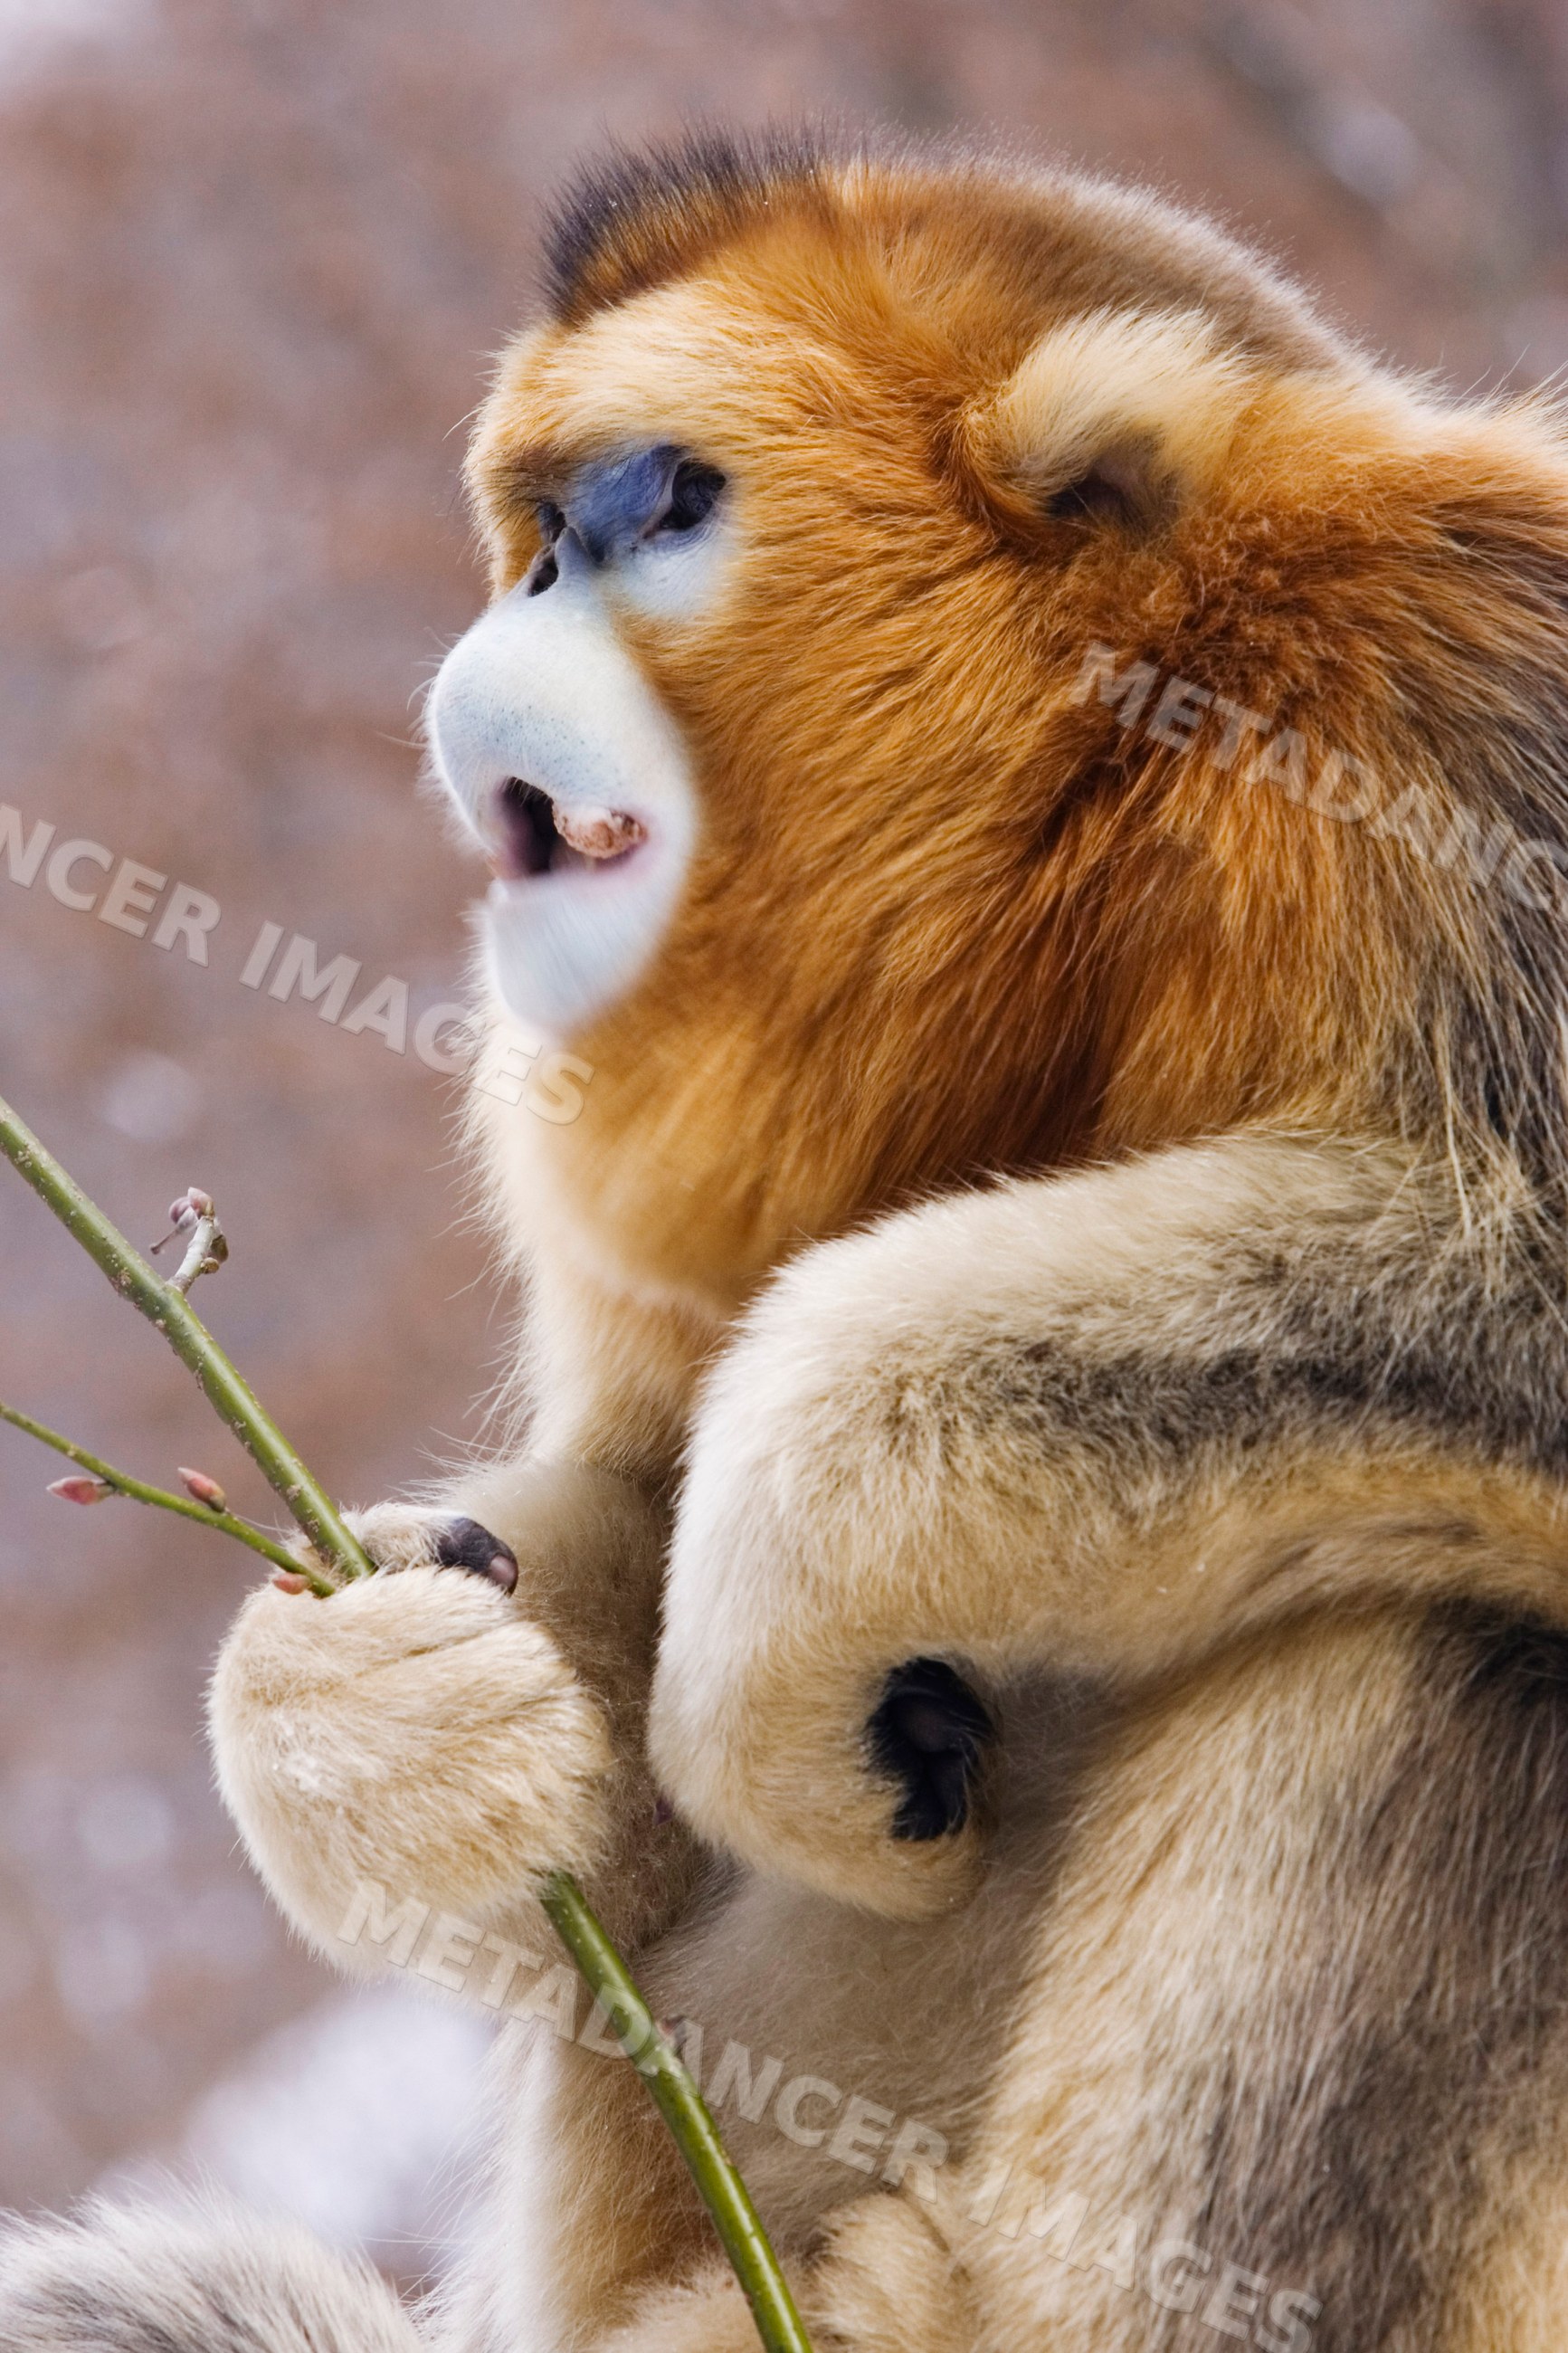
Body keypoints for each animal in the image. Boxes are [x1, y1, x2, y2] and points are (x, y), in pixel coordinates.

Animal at [9, 124, 1568, 2352]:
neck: (1122, 798)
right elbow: (623, 1523)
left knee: (1462, 1633)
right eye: (533, 540)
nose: (514, 612)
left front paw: (802, 1537)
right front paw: (371, 1711)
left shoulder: (1468, 682)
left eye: (658, 505)